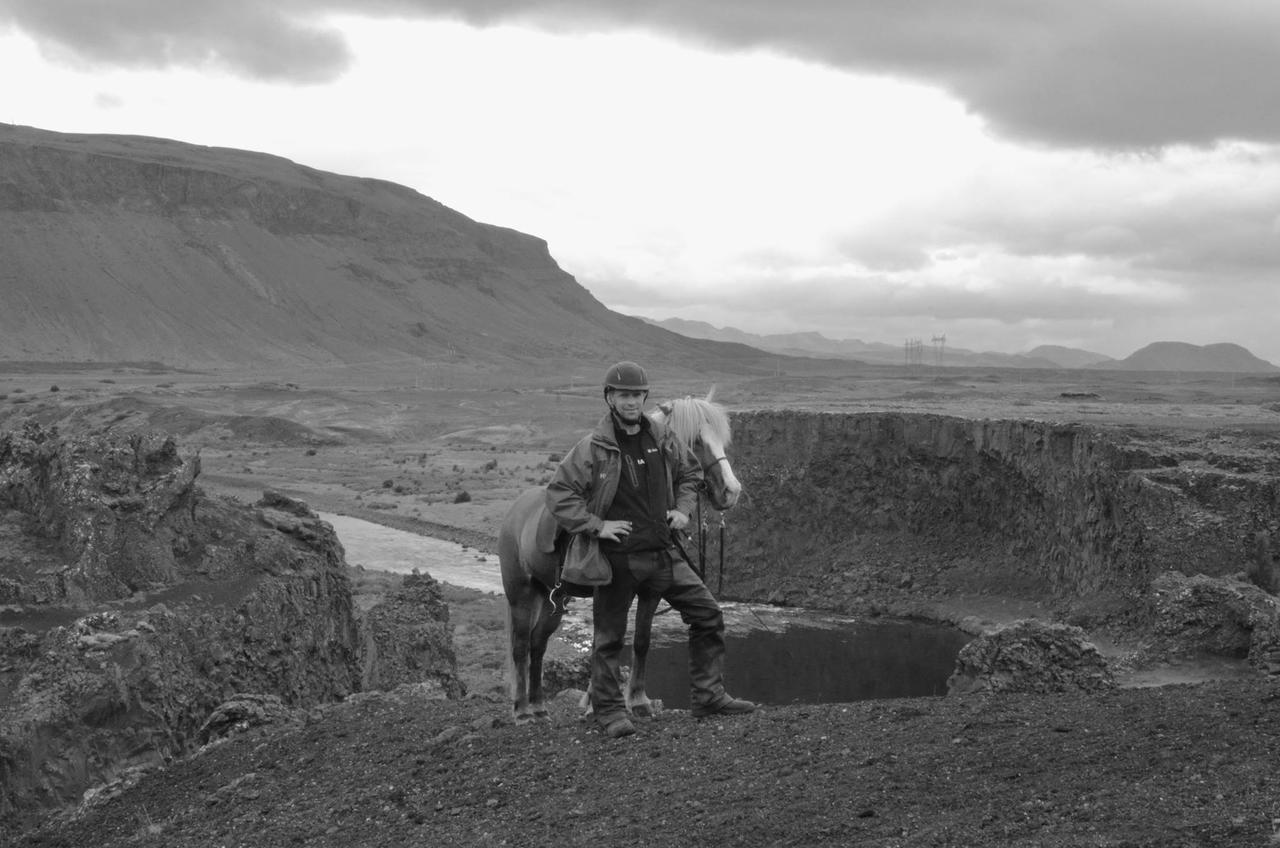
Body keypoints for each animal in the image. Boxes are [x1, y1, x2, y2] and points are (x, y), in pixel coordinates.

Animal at [496, 397, 742, 722]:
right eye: (698, 441)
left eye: (723, 440)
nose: (731, 491)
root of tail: (514, 511)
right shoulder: (612, 595)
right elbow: (607, 642)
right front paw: (597, 703)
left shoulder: (651, 591)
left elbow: (640, 641)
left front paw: (636, 700)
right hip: (521, 595)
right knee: (521, 646)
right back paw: (522, 710)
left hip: (553, 599)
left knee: (537, 644)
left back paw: (538, 706)